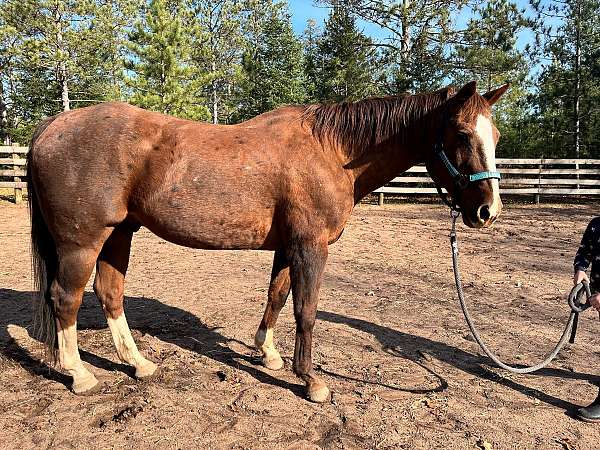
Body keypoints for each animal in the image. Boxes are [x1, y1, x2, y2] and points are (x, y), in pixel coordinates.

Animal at [27, 80, 506, 400]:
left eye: (496, 136)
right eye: (462, 135)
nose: (488, 210)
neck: (332, 152)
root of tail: (52, 126)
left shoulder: (287, 247)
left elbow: (276, 296)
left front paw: (268, 354)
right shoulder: (312, 247)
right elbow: (306, 311)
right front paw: (311, 380)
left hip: (119, 234)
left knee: (110, 293)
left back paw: (139, 364)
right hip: (83, 242)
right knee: (66, 299)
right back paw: (80, 375)